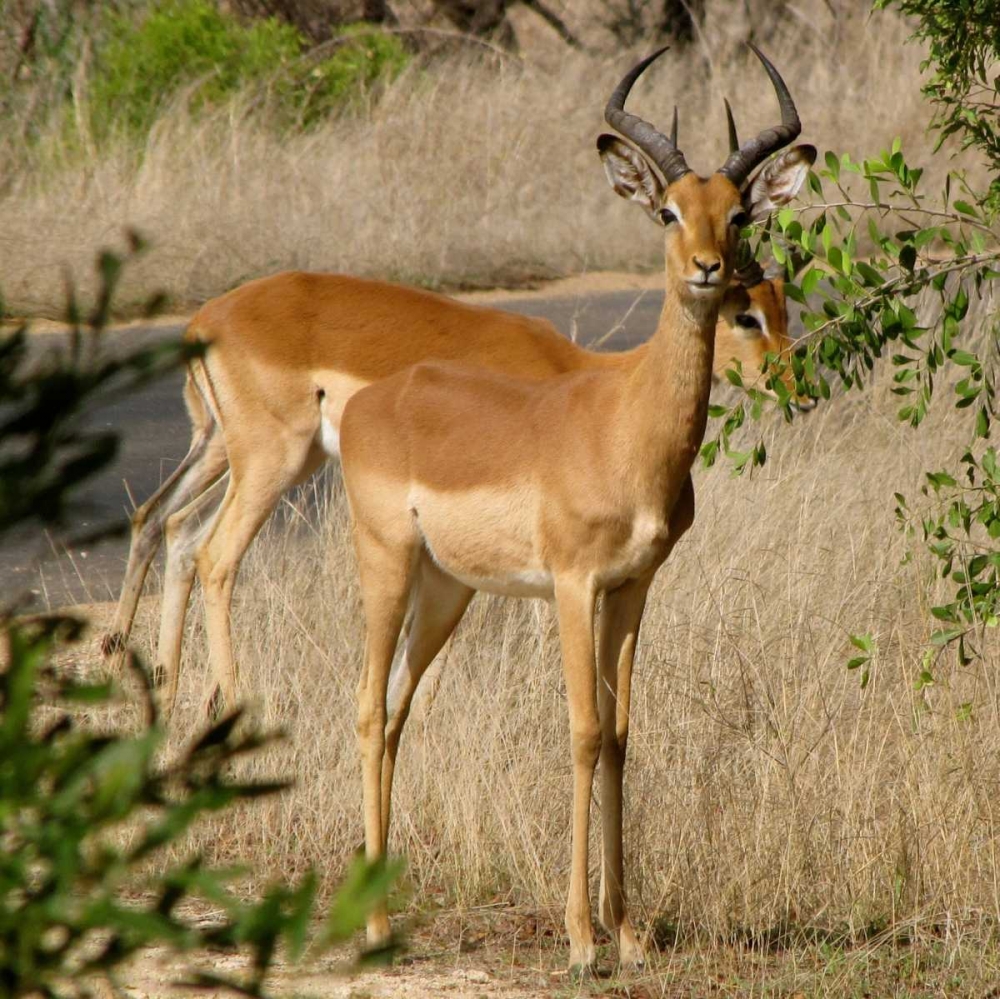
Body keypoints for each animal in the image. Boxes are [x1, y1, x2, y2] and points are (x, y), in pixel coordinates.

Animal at [102, 124, 813, 724]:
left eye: (783, 306)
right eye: (745, 314)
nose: (799, 392)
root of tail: (204, 321)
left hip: (235, 452)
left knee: (169, 525)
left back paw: (159, 681)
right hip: (270, 461)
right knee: (214, 553)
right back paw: (228, 700)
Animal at [338, 45, 809, 972]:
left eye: (736, 212)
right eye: (667, 209)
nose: (707, 268)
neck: (624, 425)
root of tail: (374, 399)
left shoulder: (632, 589)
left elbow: (624, 735)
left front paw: (628, 932)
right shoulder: (570, 584)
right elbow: (585, 732)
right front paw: (583, 939)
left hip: (446, 590)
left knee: (401, 710)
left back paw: (389, 910)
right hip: (386, 566)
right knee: (370, 708)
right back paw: (370, 927)